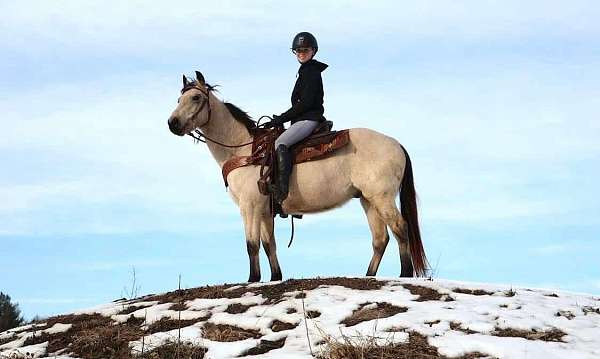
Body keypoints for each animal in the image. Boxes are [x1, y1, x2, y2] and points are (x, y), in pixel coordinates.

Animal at [164, 71, 426, 282]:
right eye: (179, 99)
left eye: (196, 98)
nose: (172, 123)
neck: (244, 149)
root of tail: (396, 144)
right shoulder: (264, 210)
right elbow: (269, 244)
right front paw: (275, 277)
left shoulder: (249, 207)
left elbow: (252, 245)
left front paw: (252, 279)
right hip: (368, 200)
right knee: (380, 239)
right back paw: (368, 276)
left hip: (382, 198)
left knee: (400, 228)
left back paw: (404, 274)